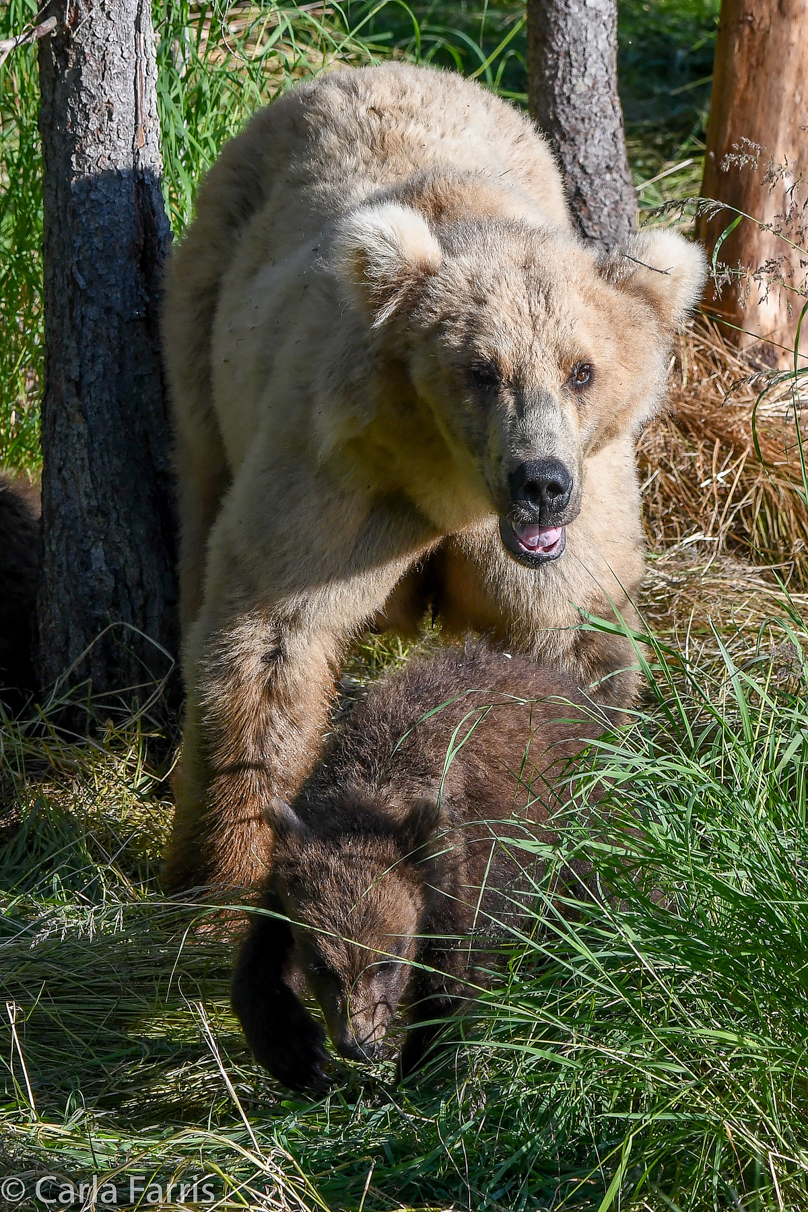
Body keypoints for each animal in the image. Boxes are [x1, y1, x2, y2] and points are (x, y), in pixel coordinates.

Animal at [164, 59, 707, 892]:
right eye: (481, 370)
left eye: (582, 369)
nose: (541, 483)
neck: (450, 487)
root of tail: (374, 66)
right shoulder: (340, 477)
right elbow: (272, 639)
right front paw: (227, 879)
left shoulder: (575, 523)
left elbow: (574, 651)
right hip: (207, 314)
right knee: (199, 505)